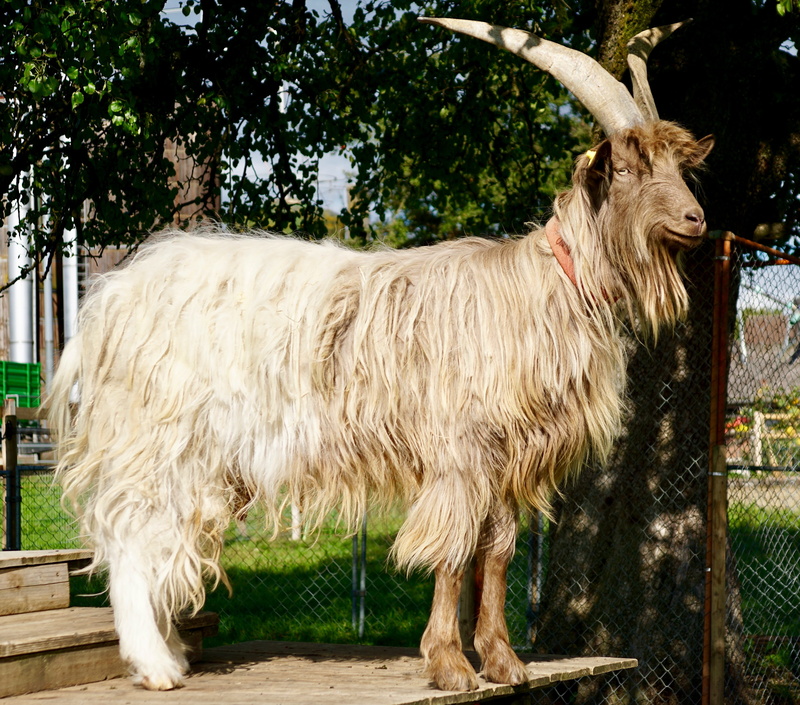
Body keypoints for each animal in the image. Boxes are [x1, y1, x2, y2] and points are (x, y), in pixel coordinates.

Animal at [49, 17, 713, 692]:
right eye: (626, 168)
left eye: (679, 165)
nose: (696, 219)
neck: (542, 284)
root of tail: (108, 301)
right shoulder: (460, 450)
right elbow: (454, 549)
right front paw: (450, 665)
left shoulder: (507, 459)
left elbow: (497, 550)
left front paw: (503, 661)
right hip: (157, 437)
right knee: (131, 535)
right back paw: (156, 666)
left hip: (200, 457)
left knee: (161, 536)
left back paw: (173, 653)